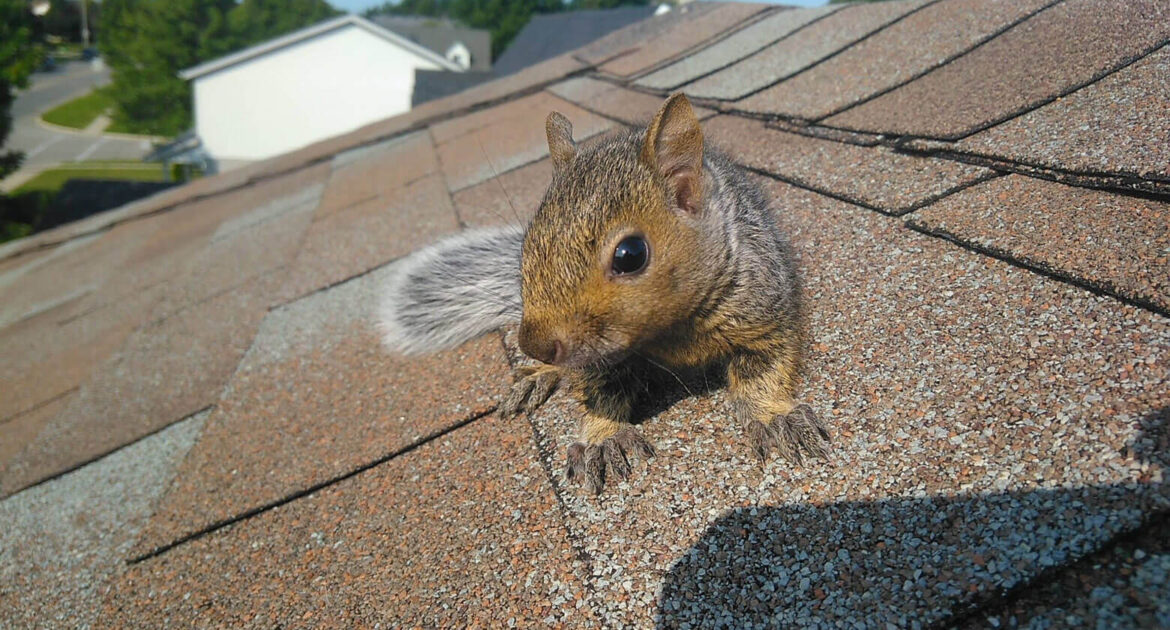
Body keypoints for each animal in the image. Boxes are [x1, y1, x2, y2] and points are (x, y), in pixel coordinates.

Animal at [378, 93, 829, 493]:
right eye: (527, 246)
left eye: (631, 255)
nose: (535, 345)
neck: (671, 329)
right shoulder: (597, 358)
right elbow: (599, 391)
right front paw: (602, 437)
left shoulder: (762, 308)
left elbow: (763, 368)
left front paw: (774, 416)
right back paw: (538, 375)